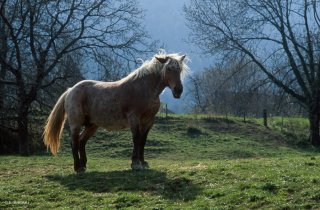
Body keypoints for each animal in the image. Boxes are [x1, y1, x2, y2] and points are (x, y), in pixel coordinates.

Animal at [42, 52, 188, 172]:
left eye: (180, 69)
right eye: (168, 69)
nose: (178, 90)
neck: (143, 89)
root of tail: (70, 90)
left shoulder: (148, 121)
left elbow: (143, 140)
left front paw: (143, 162)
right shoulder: (134, 119)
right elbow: (136, 139)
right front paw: (135, 164)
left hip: (92, 125)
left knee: (82, 141)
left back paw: (83, 165)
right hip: (75, 124)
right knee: (74, 142)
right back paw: (78, 167)